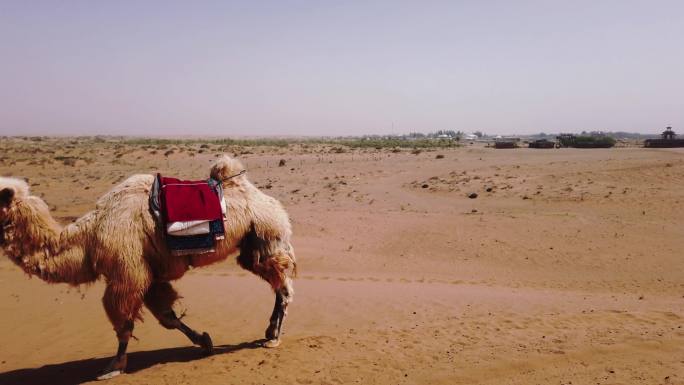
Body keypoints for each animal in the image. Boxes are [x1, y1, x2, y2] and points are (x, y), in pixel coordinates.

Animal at [0, 154, 296, 380]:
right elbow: (167, 317)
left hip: (267, 233)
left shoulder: (127, 274)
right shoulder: (149, 275)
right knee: (273, 280)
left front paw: (113, 367)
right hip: (251, 246)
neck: (90, 236)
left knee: (283, 288)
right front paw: (204, 341)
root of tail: (271, 202)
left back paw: (273, 338)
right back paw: (268, 332)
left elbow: (124, 321)